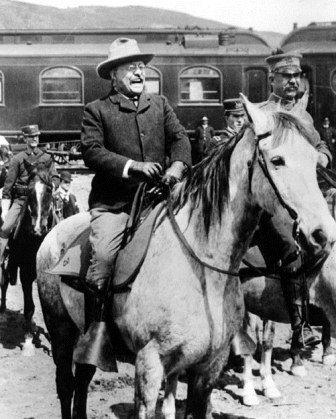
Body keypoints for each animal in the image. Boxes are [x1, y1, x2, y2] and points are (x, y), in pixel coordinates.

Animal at [0, 159, 54, 356]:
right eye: (29, 190)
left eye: (49, 189)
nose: (38, 228)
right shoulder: (25, 272)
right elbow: (29, 307)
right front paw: (29, 340)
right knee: (4, 282)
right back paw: (3, 312)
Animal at [36, 97, 336, 419]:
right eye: (278, 160)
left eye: (316, 161)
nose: (324, 234)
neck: (200, 268)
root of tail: (54, 232)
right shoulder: (150, 364)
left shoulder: (208, 368)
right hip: (62, 332)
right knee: (67, 384)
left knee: (82, 379)